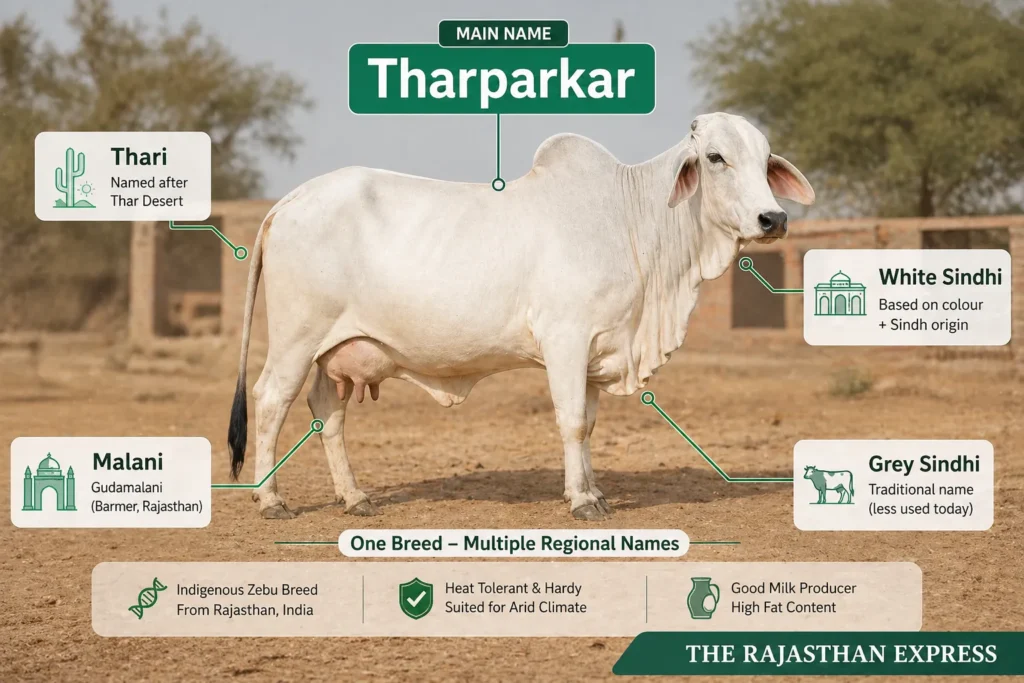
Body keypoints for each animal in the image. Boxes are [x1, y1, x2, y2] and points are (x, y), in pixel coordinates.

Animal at [226, 112, 815, 520]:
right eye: (715, 157)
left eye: (766, 160)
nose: (773, 219)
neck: (631, 221)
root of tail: (288, 201)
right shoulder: (566, 339)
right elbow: (571, 420)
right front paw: (581, 501)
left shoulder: (597, 350)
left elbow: (589, 424)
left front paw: (594, 489)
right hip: (297, 340)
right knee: (271, 400)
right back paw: (271, 500)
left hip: (336, 352)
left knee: (328, 412)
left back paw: (353, 497)